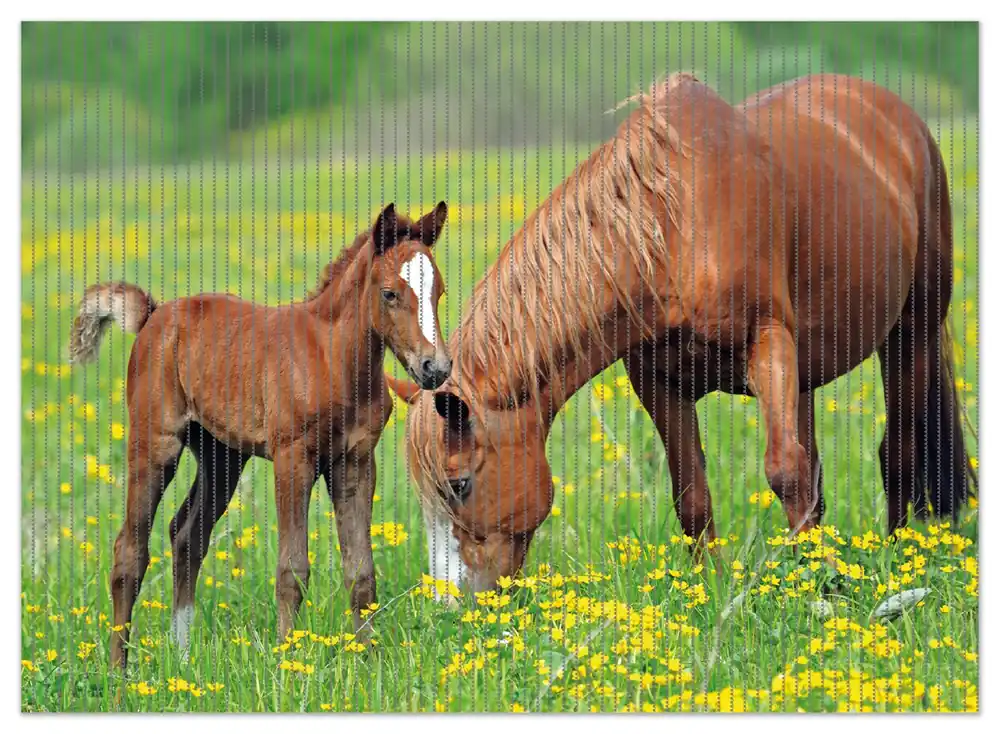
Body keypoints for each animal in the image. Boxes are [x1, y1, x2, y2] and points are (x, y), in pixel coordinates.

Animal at [69, 202, 453, 668]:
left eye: (439, 291)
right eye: (389, 294)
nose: (435, 367)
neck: (332, 359)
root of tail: (153, 315)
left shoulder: (356, 462)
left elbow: (361, 570)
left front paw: (369, 660)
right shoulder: (293, 459)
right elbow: (293, 569)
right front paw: (288, 658)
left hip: (221, 457)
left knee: (187, 536)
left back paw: (182, 657)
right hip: (155, 443)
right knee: (129, 550)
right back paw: (118, 671)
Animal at [389, 73, 976, 595]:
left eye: (459, 485)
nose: (451, 601)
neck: (674, 227)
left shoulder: (769, 344)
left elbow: (785, 471)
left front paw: (818, 588)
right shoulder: (659, 383)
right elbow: (692, 495)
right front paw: (712, 589)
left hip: (911, 333)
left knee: (896, 452)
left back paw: (897, 557)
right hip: (809, 371)